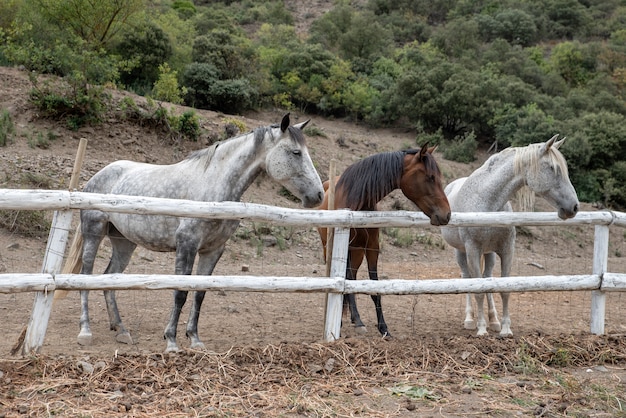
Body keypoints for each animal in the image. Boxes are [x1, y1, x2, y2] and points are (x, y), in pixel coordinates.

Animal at [316, 144, 448, 336]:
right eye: (430, 177)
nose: (447, 214)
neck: (358, 203)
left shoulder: (372, 248)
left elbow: (373, 287)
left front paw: (383, 327)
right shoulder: (345, 247)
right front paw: (353, 321)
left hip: (357, 253)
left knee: (352, 278)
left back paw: (354, 317)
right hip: (330, 248)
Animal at [438, 136, 576, 338]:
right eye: (552, 167)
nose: (574, 207)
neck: (487, 202)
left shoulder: (506, 250)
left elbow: (504, 288)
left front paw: (505, 328)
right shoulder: (473, 250)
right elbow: (477, 290)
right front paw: (481, 328)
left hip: (489, 254)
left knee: (487, 277)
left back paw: (493, 320)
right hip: (461, 252)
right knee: (467, 278)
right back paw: (470, 319)